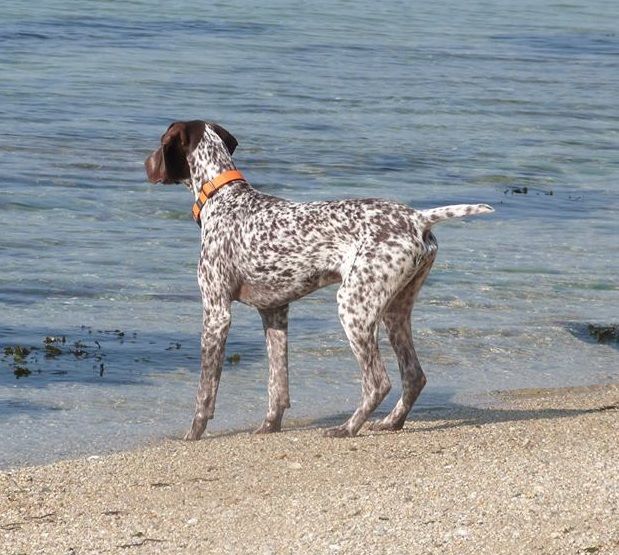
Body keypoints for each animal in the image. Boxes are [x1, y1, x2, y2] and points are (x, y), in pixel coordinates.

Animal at [144, 119, 494, 440]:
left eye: (160, 143)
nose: (145, 164)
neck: (223, 197)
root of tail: (417, 218)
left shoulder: (217, 312)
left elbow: (205, 391)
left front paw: (193, 434)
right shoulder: (274, 312)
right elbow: (278, 385)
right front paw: (269, 426)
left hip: (354, 309)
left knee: (378, 382)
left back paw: (348, 428)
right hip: (395, 312)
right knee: (414, 376)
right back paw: (391, 422)